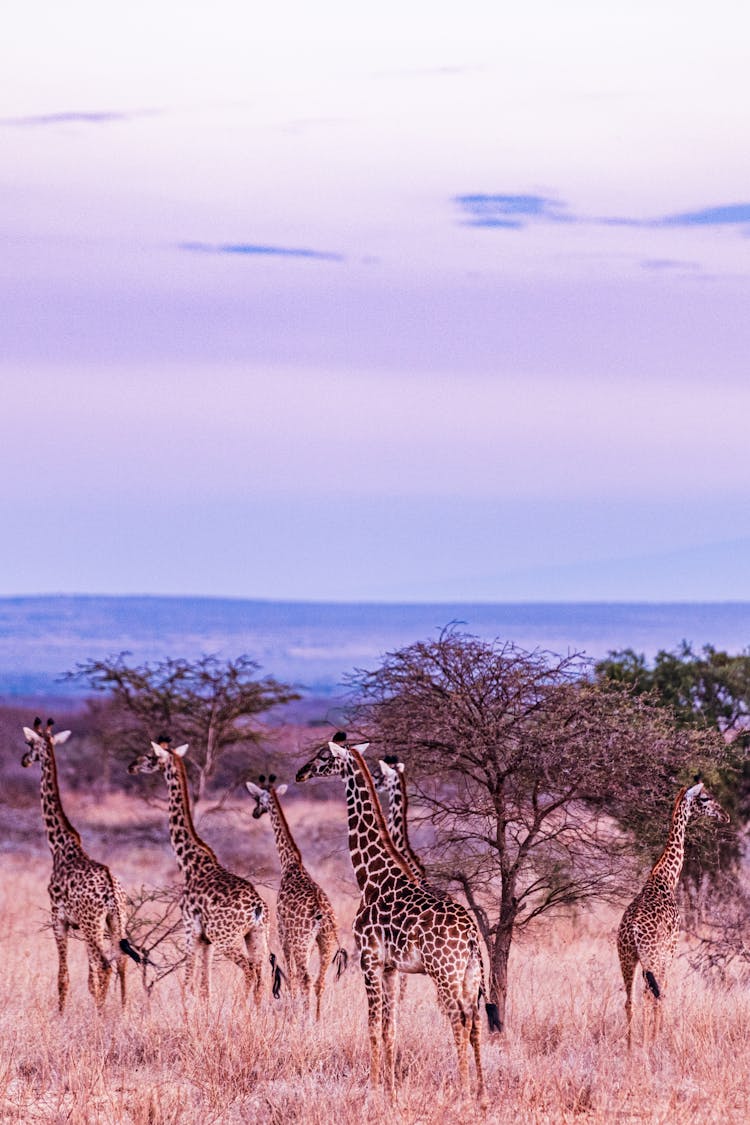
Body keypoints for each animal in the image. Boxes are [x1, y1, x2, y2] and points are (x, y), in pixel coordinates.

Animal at [20, 720, 139, 1012]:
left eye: (29, 743)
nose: (24, 760)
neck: (60, 846)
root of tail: (112, 894)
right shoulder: (79, 926)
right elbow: (88, 978)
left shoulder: (59, 919)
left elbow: (64, 976)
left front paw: (61, 1014)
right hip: (116, 921)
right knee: (120, 962)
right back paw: (122, 1011)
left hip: (92, 924)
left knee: (106, 965)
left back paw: (101, 1015)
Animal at [128, 738, 275, 1003]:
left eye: (150, 756)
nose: (131, 766)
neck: (190, 863)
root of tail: (258, 908)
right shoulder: (206, 940)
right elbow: (205, 986)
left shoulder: (190, 929)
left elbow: (188, 983)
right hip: (257, 935)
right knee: (262, 975)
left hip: (227, 938)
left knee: (249, 970)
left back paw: (242, 1009)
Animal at [249, 774, 348, 1021]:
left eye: (257, 799)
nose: (255, 812)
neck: (291, 863)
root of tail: (324, 917)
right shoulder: (309, 943)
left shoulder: (283, 931)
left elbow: (289, 973)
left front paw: (292, 1008)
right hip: (326, 942)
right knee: (319, 981)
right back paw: (318, 1018)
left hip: (302, 942)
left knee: (305, 977)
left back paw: (305, 1017)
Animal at [296, 742, 501, 1102]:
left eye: (323, 756)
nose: (300, 773)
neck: (373, 877)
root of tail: (471, 936)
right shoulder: (391, 966)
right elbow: (390, 1027)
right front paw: (391, 1090)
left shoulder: (369, 959)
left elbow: (373, 1026)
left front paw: (375, 1088)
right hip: (470, 973)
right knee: (475, 1021)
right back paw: (481, 1092)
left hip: (444, 972)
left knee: (459, 1019)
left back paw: (463, 1091)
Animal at [620, 774, 728, 1044]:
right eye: (705, 798)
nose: (725, 816)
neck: (666, 877)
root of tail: (633, 931)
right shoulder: (671, 948)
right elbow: (663, 991)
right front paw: (658, 1036)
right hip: (653, 957)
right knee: (651, 995)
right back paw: (647, 1042)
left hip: (626, 957)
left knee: (630, 1000)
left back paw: (630, 1046)